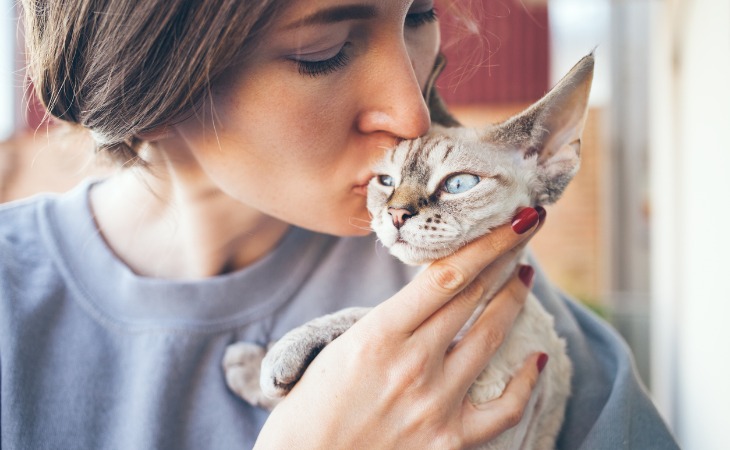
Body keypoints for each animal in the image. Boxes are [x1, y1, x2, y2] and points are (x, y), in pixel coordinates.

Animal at [225, 53, 596, 450]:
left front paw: (276, 355)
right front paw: (252, 367)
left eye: (458, 184)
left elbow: (365, 314)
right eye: (386, 182)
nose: (396, 214)